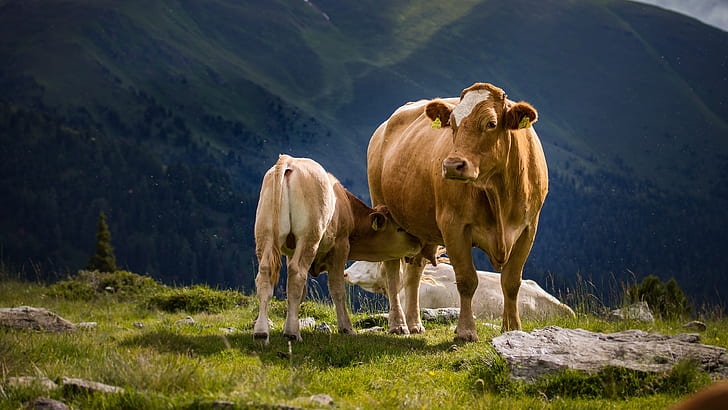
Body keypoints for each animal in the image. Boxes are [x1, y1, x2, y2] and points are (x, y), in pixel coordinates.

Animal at [253, 155, 420, 342]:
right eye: (400, 229)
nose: (419, 242)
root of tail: (290, 161)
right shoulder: (341, 247)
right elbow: (337, 289)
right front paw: (346, 327)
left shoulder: (290, 251)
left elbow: (300, 293)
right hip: (309, 236)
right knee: (297, 273)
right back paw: (292, 334)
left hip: (265, 233)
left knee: (265, 274)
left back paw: (261, 332)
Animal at [370, 81, 544, 342]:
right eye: (452, 124)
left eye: (491, 123)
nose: (452, 165)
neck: (499, 193)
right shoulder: (454, 226)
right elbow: (466, 280)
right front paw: (465, 331)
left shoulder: (528, 228)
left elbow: (512, 281)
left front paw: (512, 328)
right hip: (384, 212)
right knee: (392, 272)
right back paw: (398, 324)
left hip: (420, 228)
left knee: (414, 273)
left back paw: (414, 323)